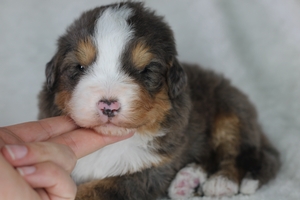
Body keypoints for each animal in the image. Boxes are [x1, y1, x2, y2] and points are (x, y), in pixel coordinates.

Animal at [38, 1, 280, 200]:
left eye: (146, 70)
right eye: (80, 67)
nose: (108, 105)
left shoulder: (151, 169)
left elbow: (97, 189)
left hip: (231, 115)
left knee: (237, 154)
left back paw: (221, 182)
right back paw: (186, 181)